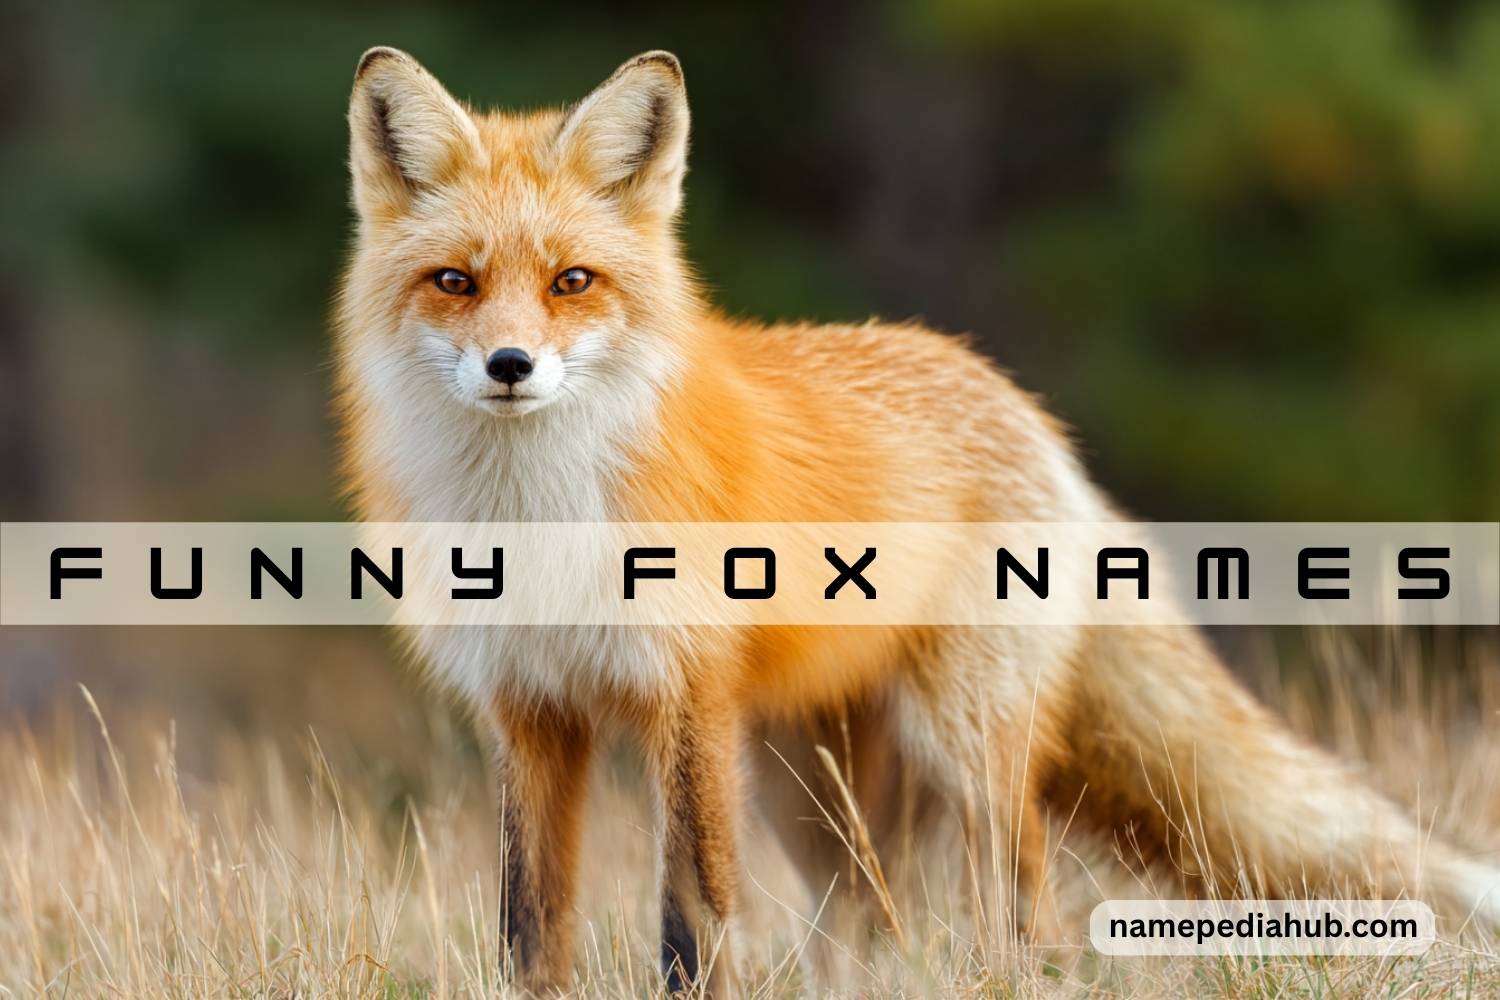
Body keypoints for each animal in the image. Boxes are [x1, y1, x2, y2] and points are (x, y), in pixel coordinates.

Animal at [333, 47, 1500, 995]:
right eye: (455, 281)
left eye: (572, 281)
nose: (511, 365)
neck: (534, 516)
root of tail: (1021, 402)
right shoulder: (528, 708)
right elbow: (528, 927)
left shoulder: (687, 698)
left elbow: (691, 919)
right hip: (815, 793)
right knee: (873, 925)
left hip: (961, 744)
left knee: (1028, 915)